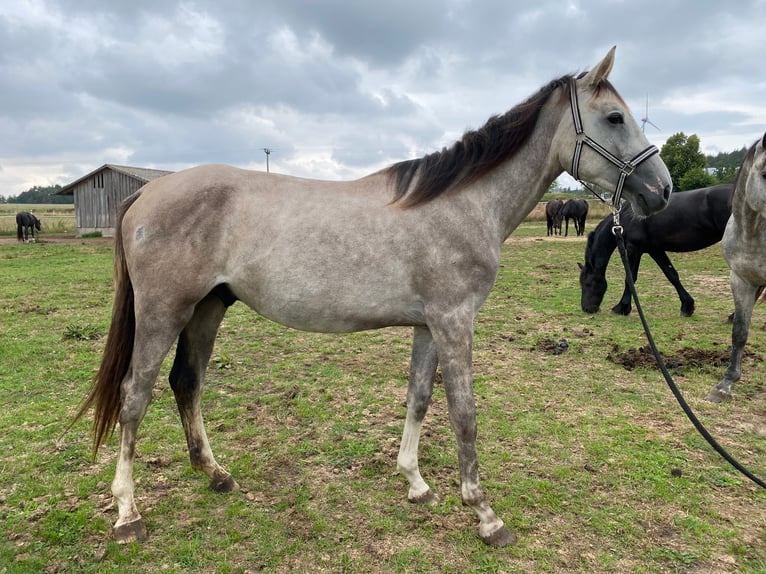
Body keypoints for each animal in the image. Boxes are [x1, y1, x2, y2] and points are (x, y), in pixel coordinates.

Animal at [72, 47, 672, 548]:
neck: (462, 204)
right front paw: (485, 516)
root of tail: (148, 190)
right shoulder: (455, 322)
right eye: (614, 118)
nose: (662, 189)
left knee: (186, 382)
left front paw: (416, 483)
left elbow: (419, 399)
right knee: (134, 396)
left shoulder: (429, 324)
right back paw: (127, 513)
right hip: (163, 313)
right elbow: (464, 414)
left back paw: (215, 474)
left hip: (207, 308)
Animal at [580, 184, 736, 318]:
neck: (625, 217)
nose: (586, 308)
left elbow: (630, 278)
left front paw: (622, 307)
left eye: (587, 283)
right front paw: (687, 306)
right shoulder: (655, 250)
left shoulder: (633, 249)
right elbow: (672, 275)